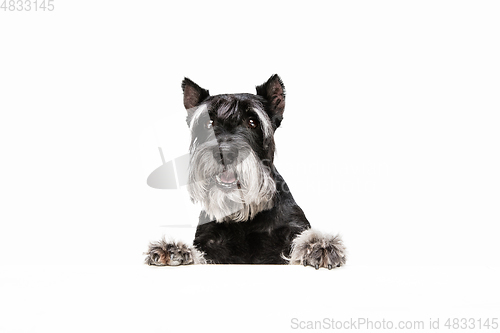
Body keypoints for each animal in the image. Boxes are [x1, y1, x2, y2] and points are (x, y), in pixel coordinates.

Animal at [146, 74, 346, 268]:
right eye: (209, 123)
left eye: (252, 122)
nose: (224, 153)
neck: (244, 218)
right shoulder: (209, 243)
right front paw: (174, 250)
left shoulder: (292, 228)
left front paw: (318, 246)